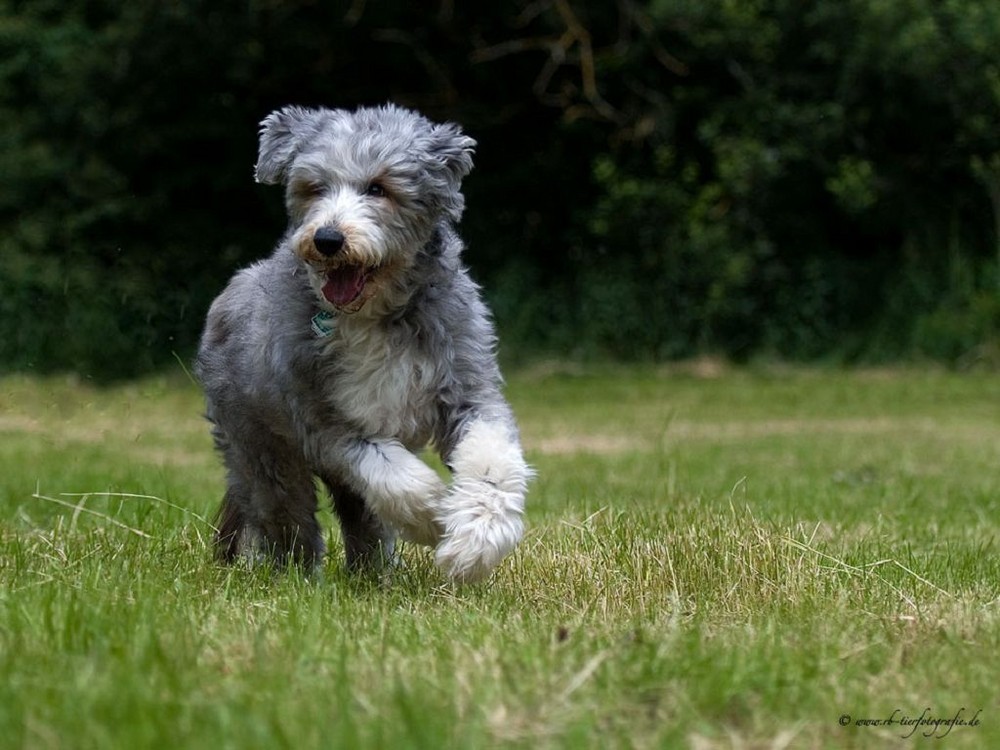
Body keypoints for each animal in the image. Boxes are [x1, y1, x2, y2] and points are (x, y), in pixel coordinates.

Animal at [192, 104, 532, 588]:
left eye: (378, 188)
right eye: (314, 187)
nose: (328, 239)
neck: (376, 318)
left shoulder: (468, 390)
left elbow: (491, 461)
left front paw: (475, 540)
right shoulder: (327, 423)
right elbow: (394, 476)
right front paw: (436, 518)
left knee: (360, 520)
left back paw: (373, 574)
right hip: (261, 450)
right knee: (289, 518)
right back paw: (299, 578)